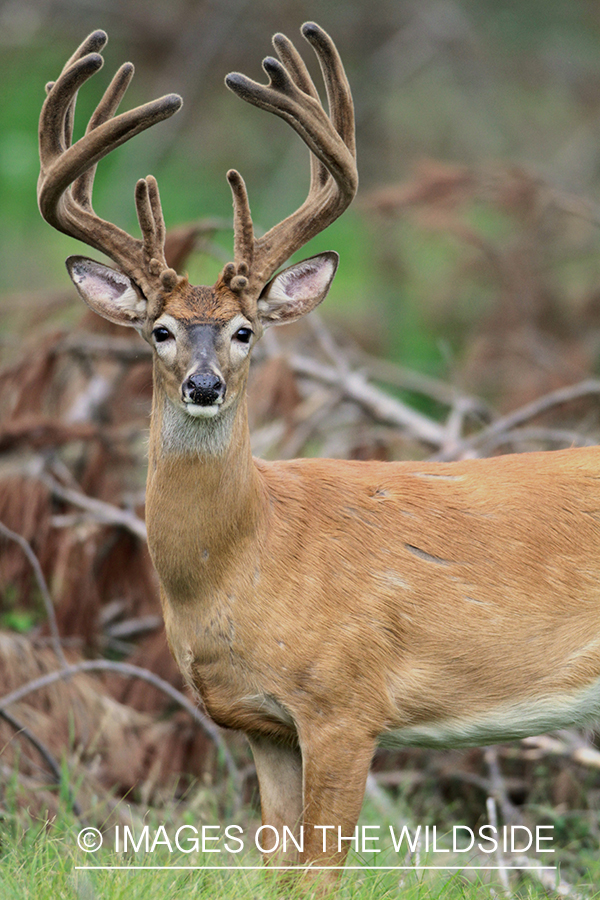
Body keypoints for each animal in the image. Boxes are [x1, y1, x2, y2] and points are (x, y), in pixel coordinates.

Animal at [38, 22, 600, 892]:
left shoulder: (346, 703)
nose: (203, 386)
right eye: (159, 331)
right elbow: (277, 870)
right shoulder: (263, 725)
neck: (249, 555)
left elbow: (319, 875)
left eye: (245, 331)